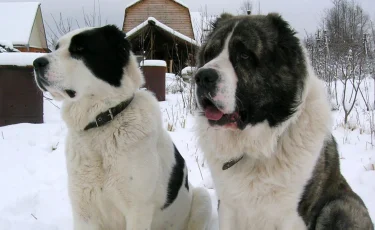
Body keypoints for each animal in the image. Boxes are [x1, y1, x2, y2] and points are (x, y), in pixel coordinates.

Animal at [33, 25, 213, 230]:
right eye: (56, 47)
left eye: (79, 49)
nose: (36, 62)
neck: (102, 123)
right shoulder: (84, 210)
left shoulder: (138, 211)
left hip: (202, 197)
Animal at [194, 13, 374, 229]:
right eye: (209, 54)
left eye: (244, 55)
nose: (202, 76)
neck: (257, 145)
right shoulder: (228, 206)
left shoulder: (290, 215)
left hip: (340, 205)